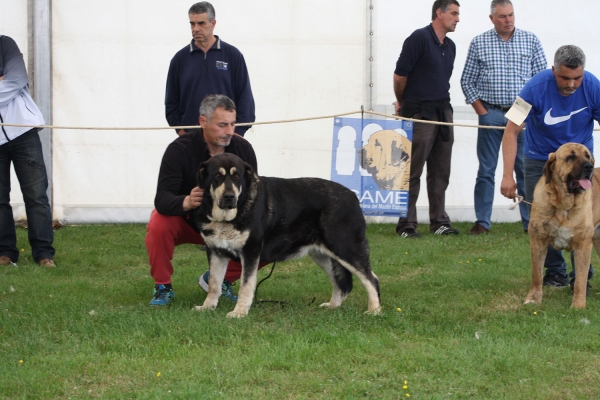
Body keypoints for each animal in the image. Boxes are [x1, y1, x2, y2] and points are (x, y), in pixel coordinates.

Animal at [191, 153, 380, 318]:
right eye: (217, 176)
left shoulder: (251, 251)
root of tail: (353, 196)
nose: (229, 196)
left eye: (237, 176)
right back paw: (333, 306)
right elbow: (214, 284)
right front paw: (207, 307)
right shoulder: (216, 252)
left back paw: (374, 310)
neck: (226, 218)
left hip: (345, 247)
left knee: (372, 279)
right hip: (322, 254)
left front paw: (239, 312)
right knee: (340, 282)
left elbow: (246, 285)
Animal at [524, 142, 600, 308]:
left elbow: (580, 279)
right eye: (570, 157)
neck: (563, 205)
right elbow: (536, 275)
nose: (589, 166)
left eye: (587, 156)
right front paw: (533, 298)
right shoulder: (538, 241)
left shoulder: (582, 244)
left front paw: (578, 306)